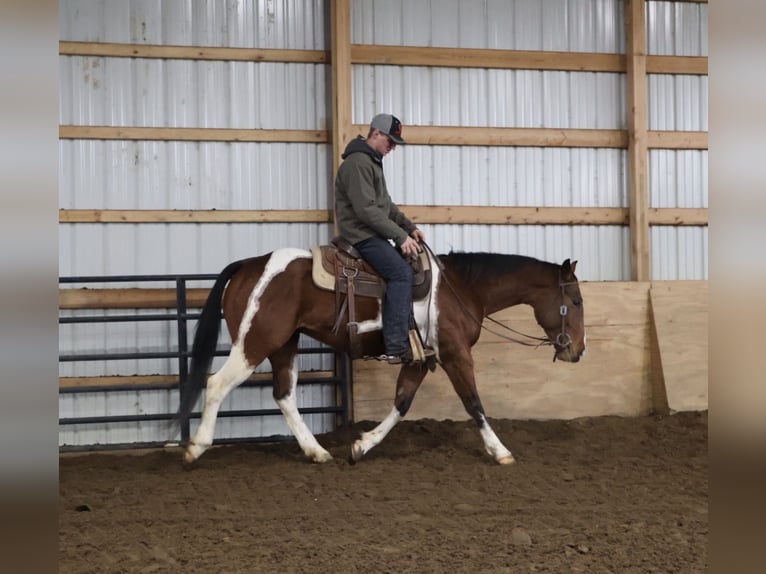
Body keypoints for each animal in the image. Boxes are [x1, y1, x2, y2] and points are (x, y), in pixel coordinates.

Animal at [176, 245, 586, 466]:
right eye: (577, 300)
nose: (578, 351)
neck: (460, 289)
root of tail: (249, 265)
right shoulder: (454, 355)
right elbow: (474, 403)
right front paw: (500, 450)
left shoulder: (420, 358)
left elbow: (401, 403)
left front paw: (362, 445)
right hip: (255, 342)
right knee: (217, 383)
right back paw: (196, 448)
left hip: (284, 345)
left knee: (285, 396)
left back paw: (316, 451)